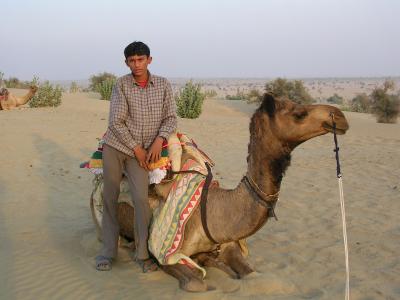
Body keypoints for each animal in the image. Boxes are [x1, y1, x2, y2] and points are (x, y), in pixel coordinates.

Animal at [90, 93, 346, 290]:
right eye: (298, 113)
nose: (340, 116)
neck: (213, 210)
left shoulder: (229, 244)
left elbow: (253, 275)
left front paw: (218, 264)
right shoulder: (166, 254)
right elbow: (197, 284)